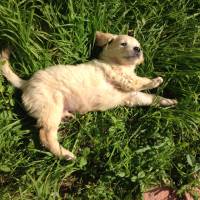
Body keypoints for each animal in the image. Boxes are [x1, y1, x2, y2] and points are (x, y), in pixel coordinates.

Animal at [0, 31, 177, 159]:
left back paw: (67, 118)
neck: (120, 64)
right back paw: (65, 154)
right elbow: (139, 81)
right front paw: (155, 81)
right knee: (45, 135)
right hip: (51, 106)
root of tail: (26, 83)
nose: (138, 49)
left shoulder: (132, 96)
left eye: (138, 45)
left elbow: (150, 98)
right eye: (123, 44)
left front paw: (168, 101)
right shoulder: (121, 78)